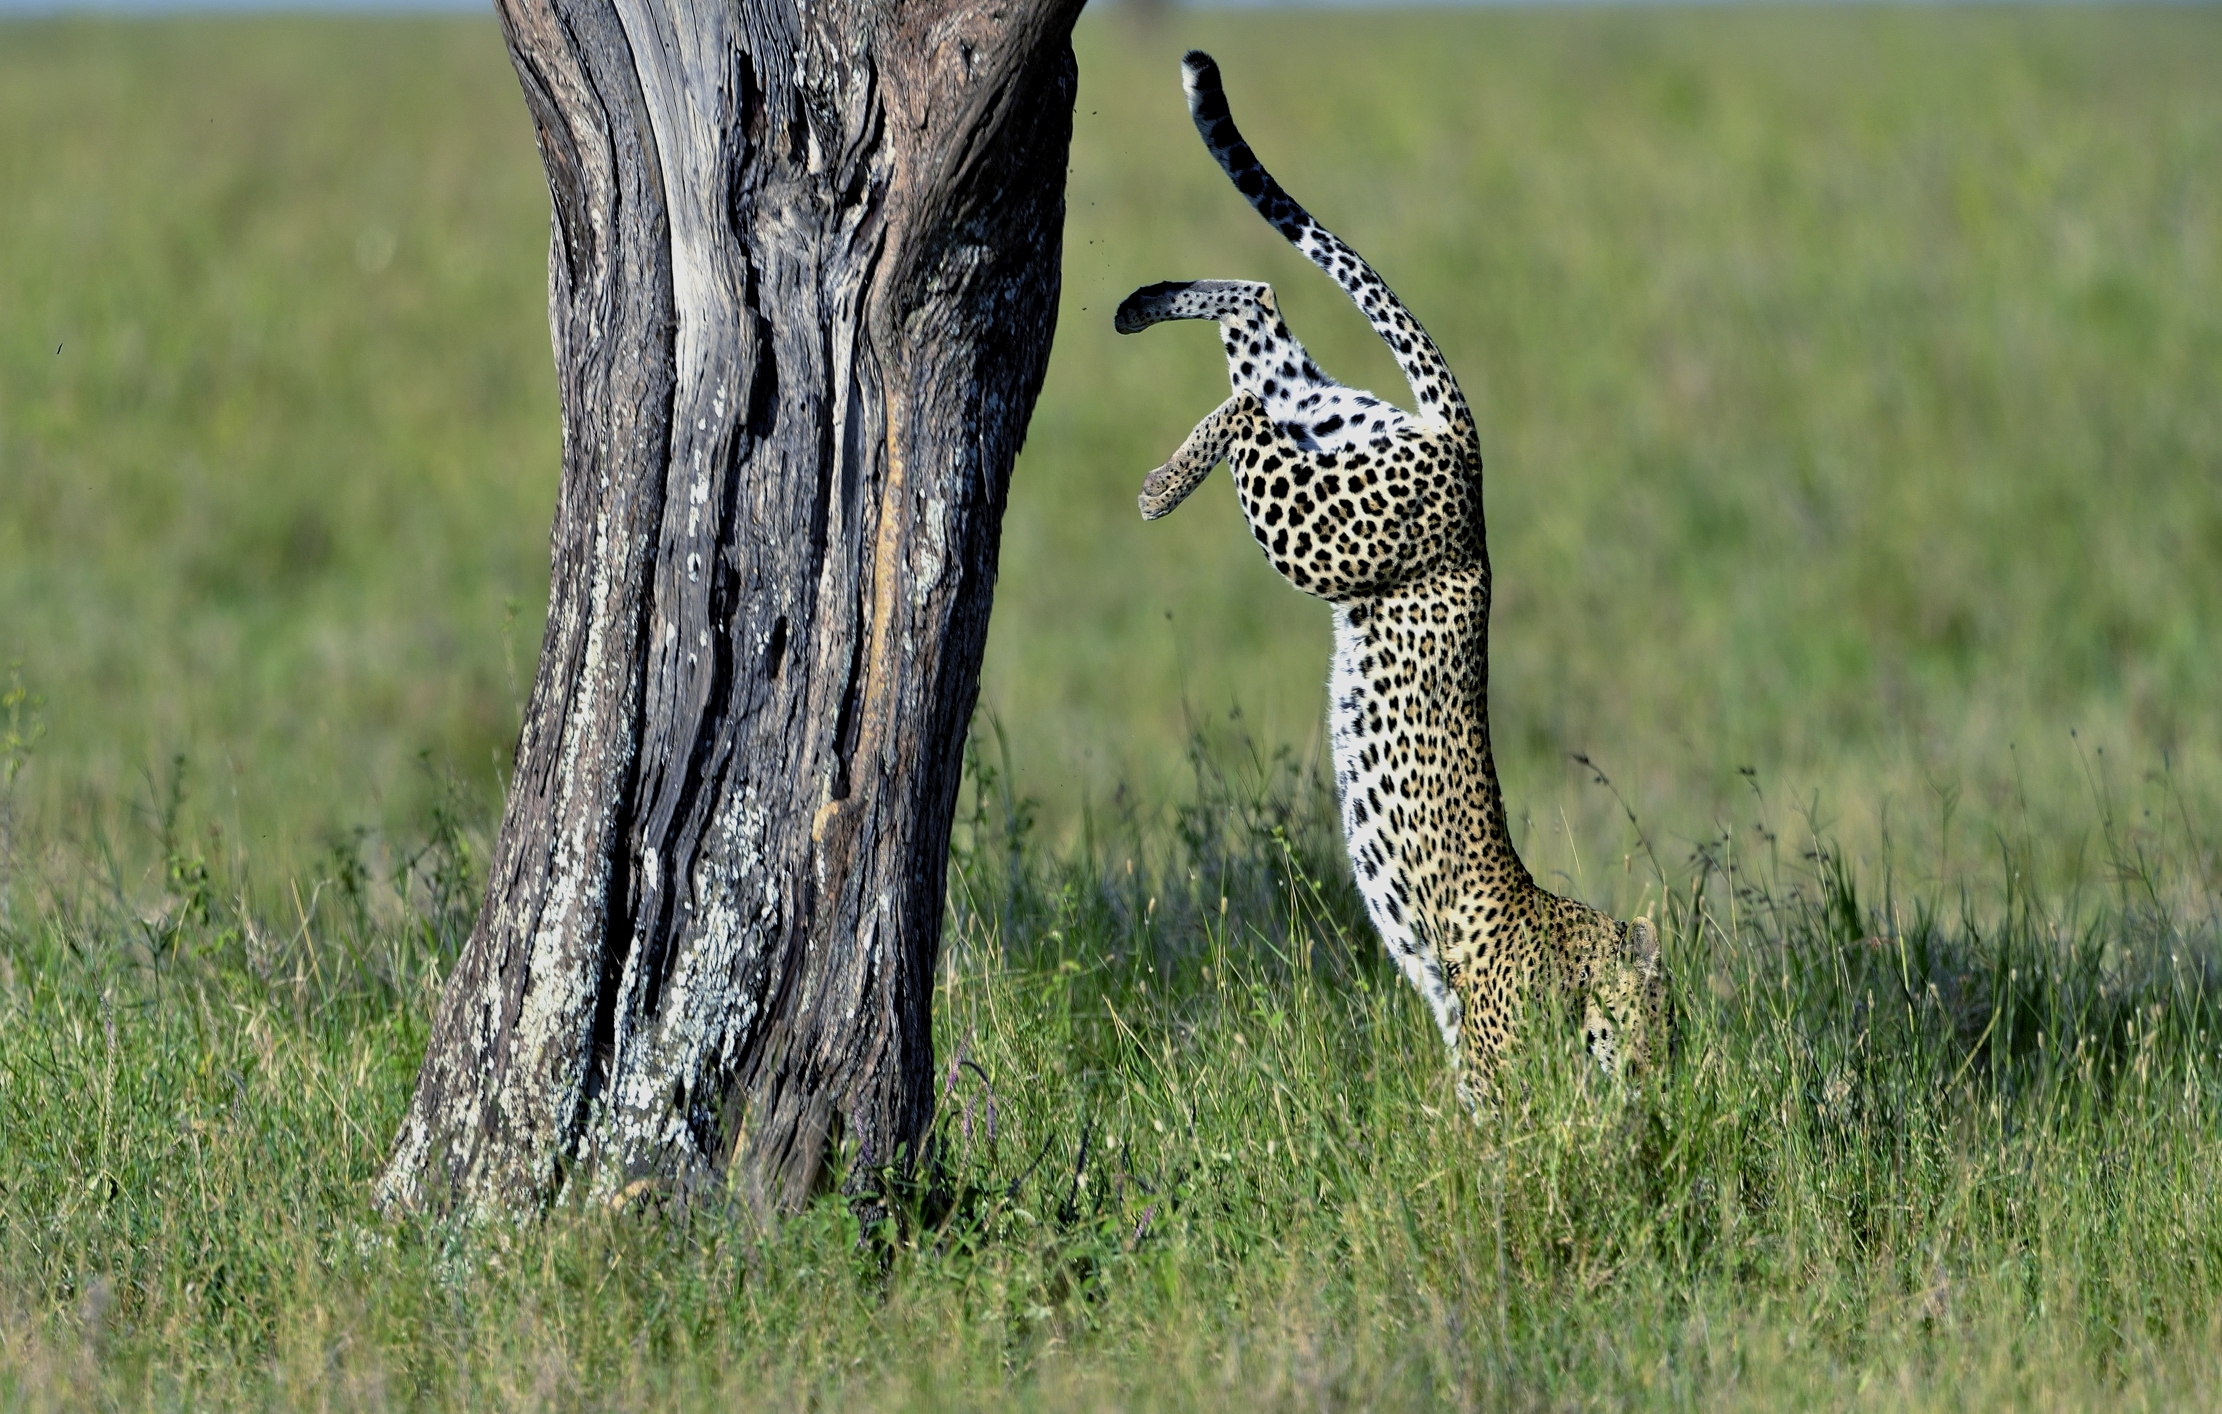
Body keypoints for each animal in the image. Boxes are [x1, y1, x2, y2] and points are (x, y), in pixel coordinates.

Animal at [1115, 51, 1668, 1100]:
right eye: (1660, 1010)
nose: (1666, 1063)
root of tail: (1466, 458)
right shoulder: (1489, 1063)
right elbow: (1493, 1127)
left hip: (1324, 427)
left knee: (1258, 313)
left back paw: (1140, 304)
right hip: (1317, 522)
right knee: (1249, 398)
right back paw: (1159, 486)